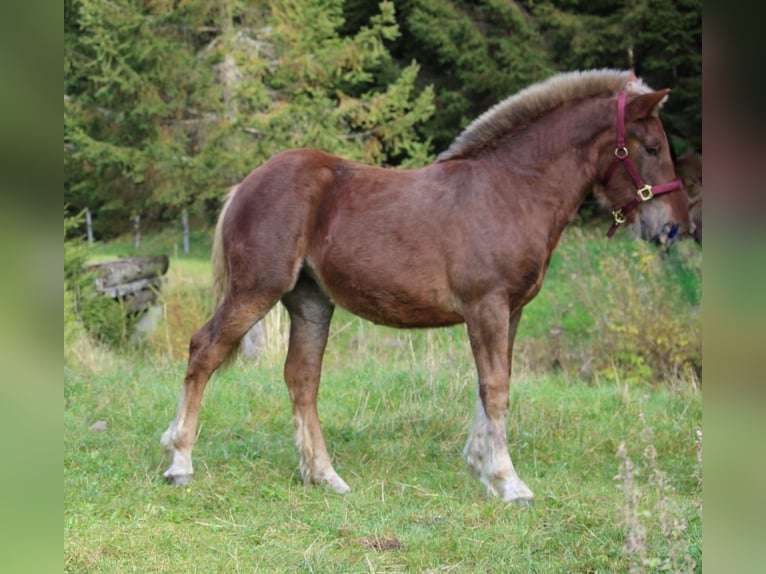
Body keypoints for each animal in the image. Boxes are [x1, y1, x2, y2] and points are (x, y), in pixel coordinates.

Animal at [161, 69, 689, 504]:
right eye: (652, 148)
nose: (674, 227)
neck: (510, 189)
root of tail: (244, 186)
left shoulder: (510, 310)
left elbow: (492, 384)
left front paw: (481, 464)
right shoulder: (487, 306)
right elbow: (496, 388)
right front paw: (507, 481)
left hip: (310, 302)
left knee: (301, 379)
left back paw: (324, 475)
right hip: (256, 290)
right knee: (204, 350)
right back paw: (180, 461)